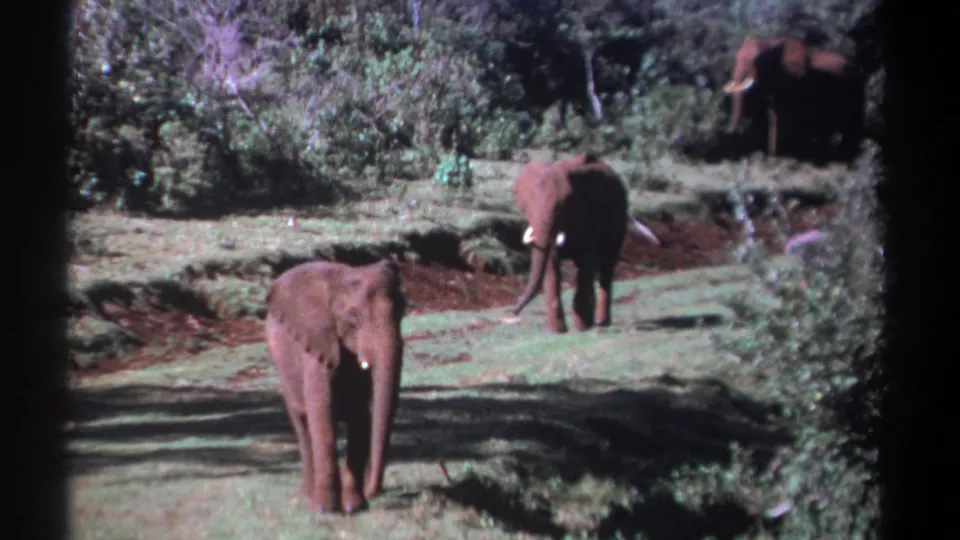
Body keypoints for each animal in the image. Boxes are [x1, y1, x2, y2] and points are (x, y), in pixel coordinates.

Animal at [264, 258, 407, 514]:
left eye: (403, 310)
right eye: (353, 316)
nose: (374, 491)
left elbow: (360, 416)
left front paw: (354, 507)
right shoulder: (316, 346)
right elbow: (322, 413)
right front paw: (325, 509)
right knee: (302, 424)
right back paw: (308, 495)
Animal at [511, 153, 661, 334]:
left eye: (564, 205)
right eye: (527, 205)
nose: (513, 311)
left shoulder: (591, 214)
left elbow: (587, 259)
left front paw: (582, 328)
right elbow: (551, 266)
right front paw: (555, 331)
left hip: (619, 219)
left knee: (606, 267)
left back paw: (601, 322)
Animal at [722, 36, 865, 163]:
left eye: (757, 60)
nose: (729, 132)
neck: (771, 43)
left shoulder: (796, 81)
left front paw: (787, 157)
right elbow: (774, 116)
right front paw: (774, 157)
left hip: (856, 90)